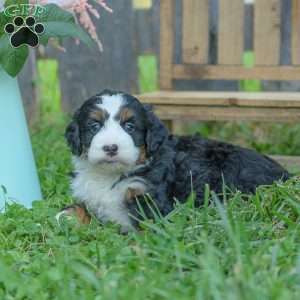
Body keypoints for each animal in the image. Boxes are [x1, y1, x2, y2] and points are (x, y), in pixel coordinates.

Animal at [58, 89, 290, 232]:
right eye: (94, 126)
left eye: (130, 126)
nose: (111, 148)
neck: (111, 175)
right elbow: (81, 208)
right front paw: (66, 216)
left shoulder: (152, 202)